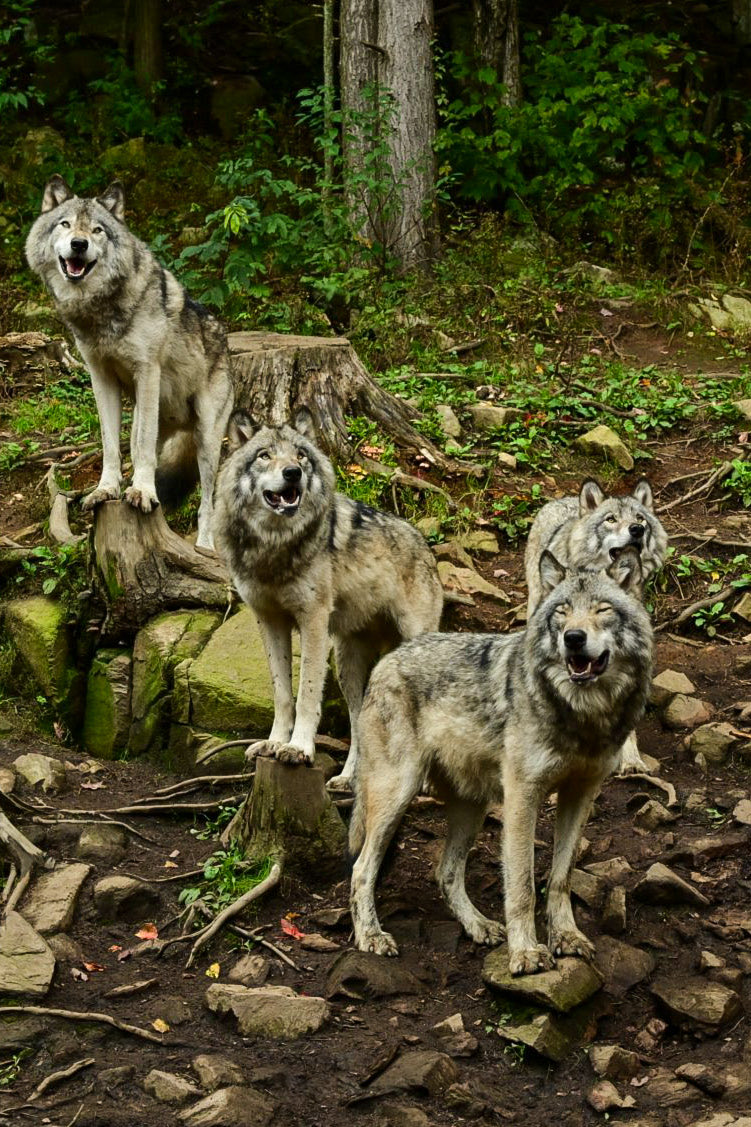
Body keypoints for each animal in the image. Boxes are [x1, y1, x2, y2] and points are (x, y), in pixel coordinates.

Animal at [25, 174, 233, 550]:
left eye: (97, 230)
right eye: (65, 224)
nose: (78, 244)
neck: (100, 311)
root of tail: (225, 339)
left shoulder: (147, 372)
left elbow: (143, 449)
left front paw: (143, 493)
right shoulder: (101, 378)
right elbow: (111, 445)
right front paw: (106, 491)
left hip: (207, 439)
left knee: (208, 501)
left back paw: (204, 547)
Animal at [212, 410, 444, 789]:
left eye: (300, 455)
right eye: (264, 455)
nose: (293, 472)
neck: (273, 547)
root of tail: (425, 546)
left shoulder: (314, 620)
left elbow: (307, 694)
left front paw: (298, 749)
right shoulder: (269, 621)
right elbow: (282, 694)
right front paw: (274, 743)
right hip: (348, 666)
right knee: (359, 722)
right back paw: (349, 779)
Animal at [349, 547, 651, 975]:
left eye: (603, 609)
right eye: (562, 612)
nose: (573, 638)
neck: (582, 715)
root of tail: (385, 662)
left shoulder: (581, 794)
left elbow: (560, 877)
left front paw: (566, 938)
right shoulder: (523, 795)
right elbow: (522, 884)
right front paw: (525, 952)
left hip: (471, 808)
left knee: (445, 871)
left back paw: (478, 926)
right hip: (398, 793)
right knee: (361, 869)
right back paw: (371, 937)